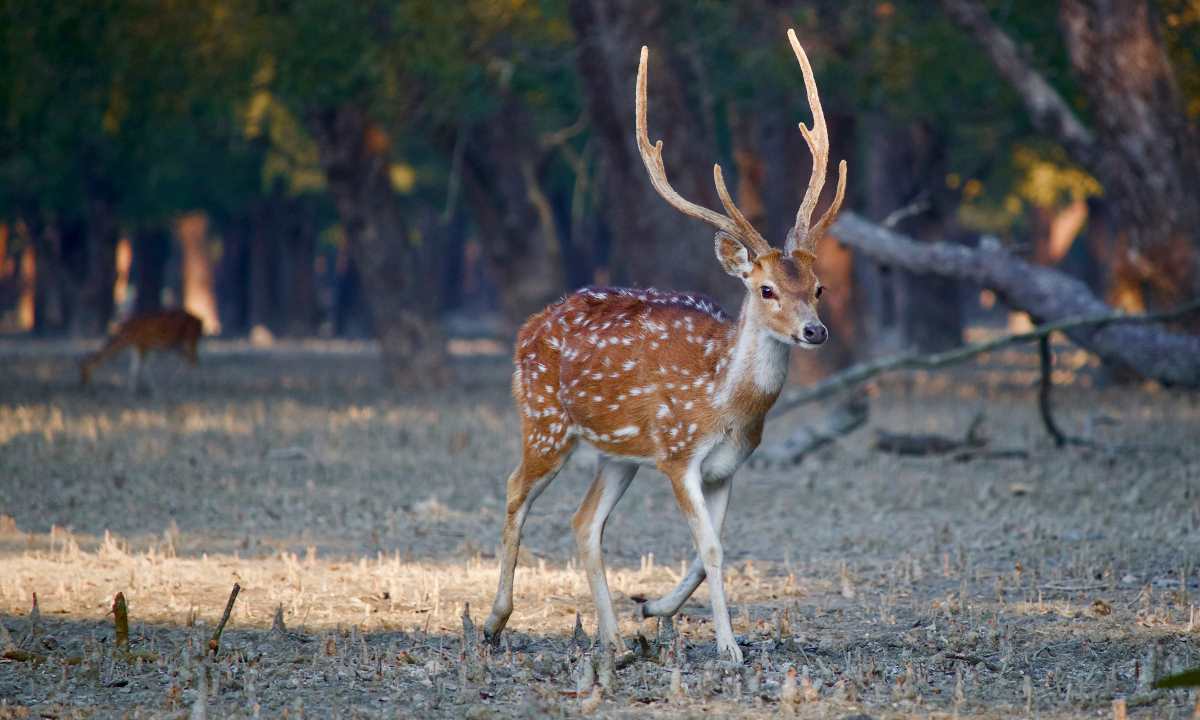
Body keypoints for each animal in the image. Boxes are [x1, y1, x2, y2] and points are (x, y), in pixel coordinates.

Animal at [482, 32, 849, 662]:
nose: (815, 331)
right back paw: (494, 621)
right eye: (767, 289)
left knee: (584, 522)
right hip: (546, 422)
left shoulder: (728, 466)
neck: (725, 404)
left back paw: (614, 640)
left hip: (618, 454)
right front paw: (728, 647)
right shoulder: (678, 455)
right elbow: (712, 550)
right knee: (514, 490)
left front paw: (652, 610)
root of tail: (528, 327)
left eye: (818, 286)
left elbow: (714, 551)